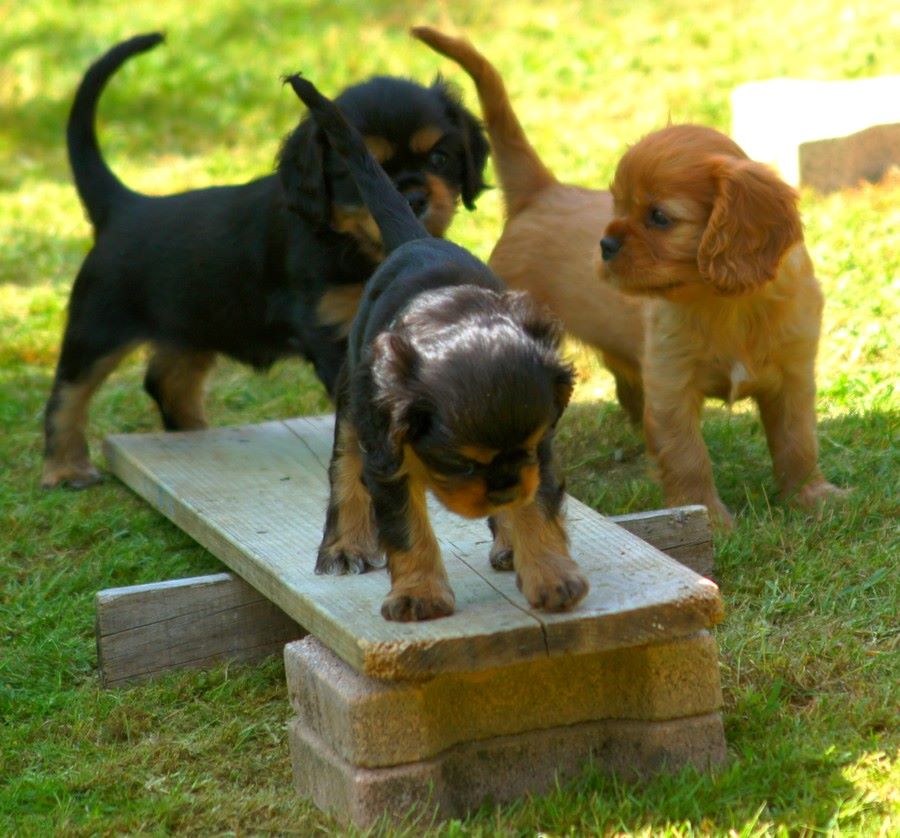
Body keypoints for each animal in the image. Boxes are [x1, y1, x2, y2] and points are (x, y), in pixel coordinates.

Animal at [44, 34, 486, 492]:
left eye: (439, 159)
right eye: (358, 170)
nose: (413, 198)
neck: (352, 244)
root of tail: (125, 206)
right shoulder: (332, 333)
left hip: (195, 324)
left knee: (167, 380)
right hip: (98, 328)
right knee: (67, 394)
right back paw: (65, 468)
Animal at [284, 74, 588, 624]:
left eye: (527, 447)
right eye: (460, 463)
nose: (502, 488)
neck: (454, 317)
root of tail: (413, 239)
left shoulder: (539, 452)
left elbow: (538, 508)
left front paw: (552, 576)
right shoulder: (387, 454)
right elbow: (406, 528)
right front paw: (419, 595)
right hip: (353, 402)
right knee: (344, 470)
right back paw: (343, 546)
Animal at [596, 126, 844, 524]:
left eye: (659, 217)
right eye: (617, 206)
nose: (605, 244)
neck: (727, 304)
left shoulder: (794, 378)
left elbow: (798, 440)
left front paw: (811, 496)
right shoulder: (670, 385)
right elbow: (686, 455)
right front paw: (704, 514)